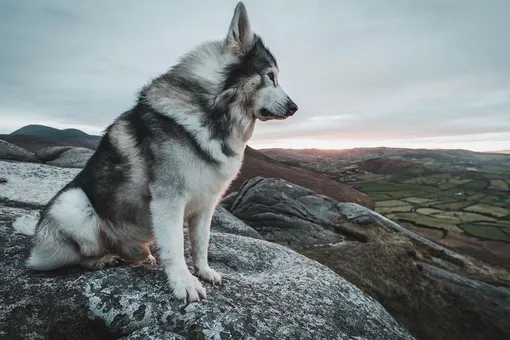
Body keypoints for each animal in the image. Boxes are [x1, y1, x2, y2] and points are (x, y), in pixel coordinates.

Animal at [21, 1, 296, 302]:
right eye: (270, 76)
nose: (294, 107)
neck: (213, 110)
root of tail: (36, 234)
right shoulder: (169, 199)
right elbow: (175, 247)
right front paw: (184, 282)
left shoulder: (207, 204)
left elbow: (201, 243)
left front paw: (204, 271)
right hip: (73, 204)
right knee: (71, 256)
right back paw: (100, 259)